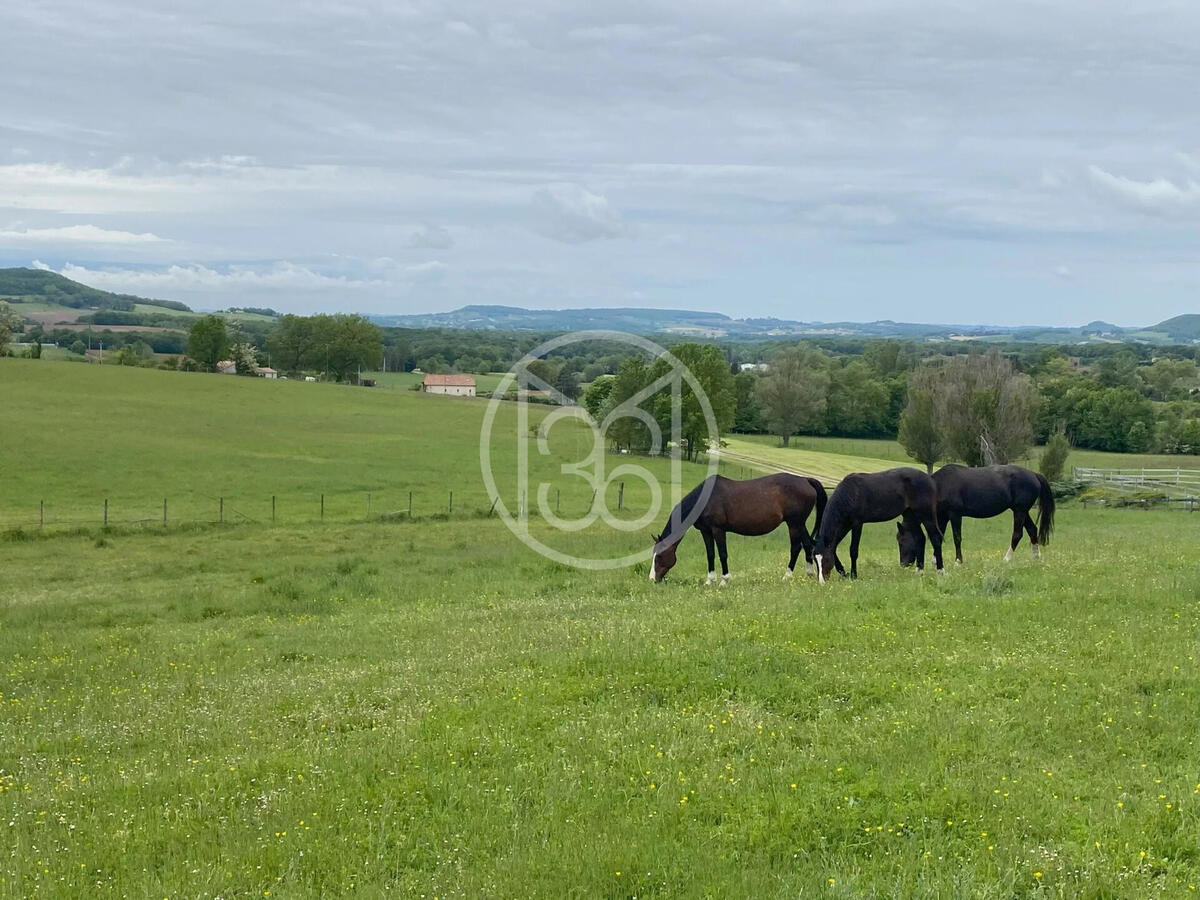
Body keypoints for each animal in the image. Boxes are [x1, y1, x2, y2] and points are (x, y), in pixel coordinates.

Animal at [652, 472, 830, 585]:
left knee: (795, 547)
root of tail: (806, 480)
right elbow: (710, 554)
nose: (652, 579)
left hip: (794, 524)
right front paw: (710, 580)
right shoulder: (706, 531)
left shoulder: (718, 530)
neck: (706, 500)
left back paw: (787, 576)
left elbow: (722, 554)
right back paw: (809, 573)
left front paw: (724, 581)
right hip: (799, 524)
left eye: (659, 556)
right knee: (807, 545)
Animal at [811, 468, 940, 580]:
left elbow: (853, 550)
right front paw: (844, 573)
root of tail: (930, 479)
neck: (849, 494)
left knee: (935, 538)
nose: (822, 581)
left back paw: (940, 571)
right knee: (920, 538)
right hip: (911, 515)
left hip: (926, 515)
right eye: (815, 560)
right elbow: (834, 548)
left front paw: (853, 575)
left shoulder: (857, 524)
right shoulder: (845, 525)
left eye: (826, 560)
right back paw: (920, 572)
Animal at [897, 465, 1056, 564]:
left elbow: (957, 538)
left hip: (1020, 511)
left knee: (1018, 534)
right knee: (1032, 530)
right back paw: (1036, 557)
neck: (940, 485)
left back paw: (1006, 559)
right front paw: (935, 560)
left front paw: (958, 561)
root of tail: (1034, 474)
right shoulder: (942, 516)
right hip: (1022, 511)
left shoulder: (955, 514)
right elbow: (938, 536)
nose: (904, 563)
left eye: (902, 540)